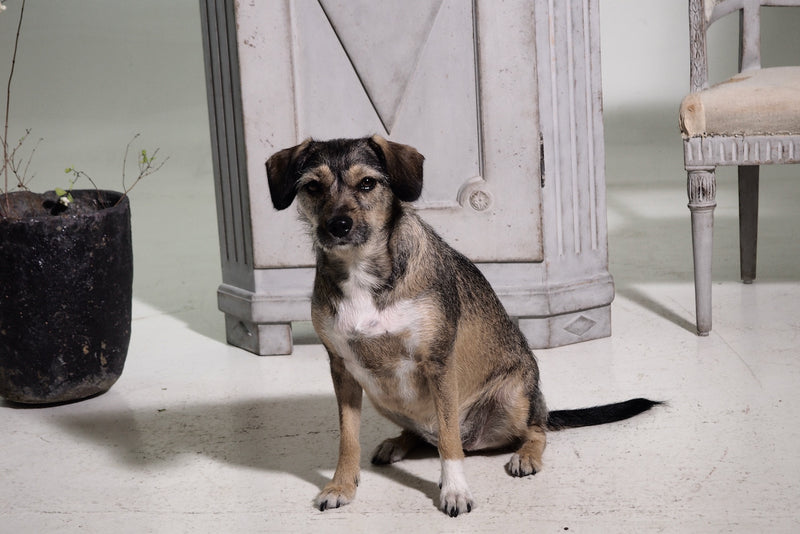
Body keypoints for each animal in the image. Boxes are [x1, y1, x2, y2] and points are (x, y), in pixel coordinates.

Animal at [266, 136, 660, 516]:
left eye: (367, 183)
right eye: (313, 186)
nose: (338, 226)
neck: (362, 270)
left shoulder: (438, 364)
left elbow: (449, 443)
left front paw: (454, 491)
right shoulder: (343, 370)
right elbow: (348, 439)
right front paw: (341, 487)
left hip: (513, 399)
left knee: (533, 429)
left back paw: (525, 455)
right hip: (380, 394)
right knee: (425, 433)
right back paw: (397, 443)